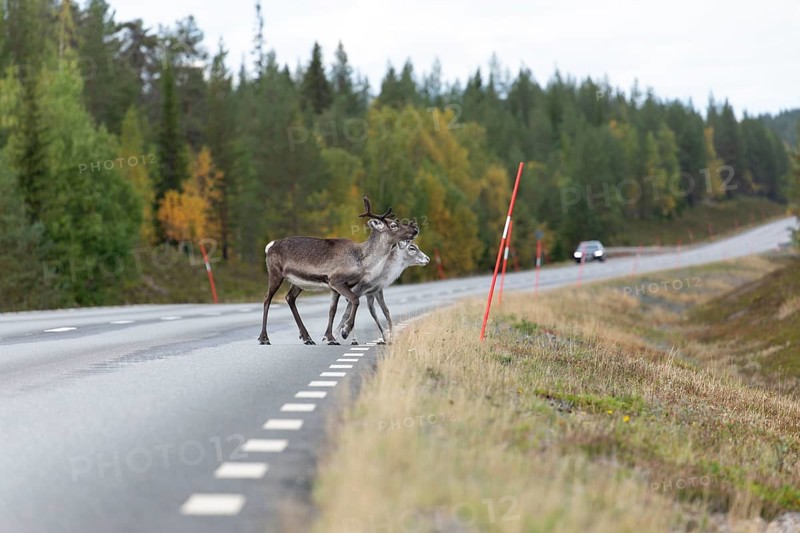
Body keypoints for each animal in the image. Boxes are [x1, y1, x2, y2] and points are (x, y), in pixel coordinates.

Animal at [258, 196, 419, 345]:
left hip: (297, 282)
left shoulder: (335, 286)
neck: (362, 260)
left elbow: (333, 310)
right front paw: (345, 331)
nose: (415, 229)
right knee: (267, 298)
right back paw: (264, 338)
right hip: (275, 273)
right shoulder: (336, 280)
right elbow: (355, 300)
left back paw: (307, 337)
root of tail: (269, 246)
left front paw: (330, 337)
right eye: (394, 225)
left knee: (289, 298)